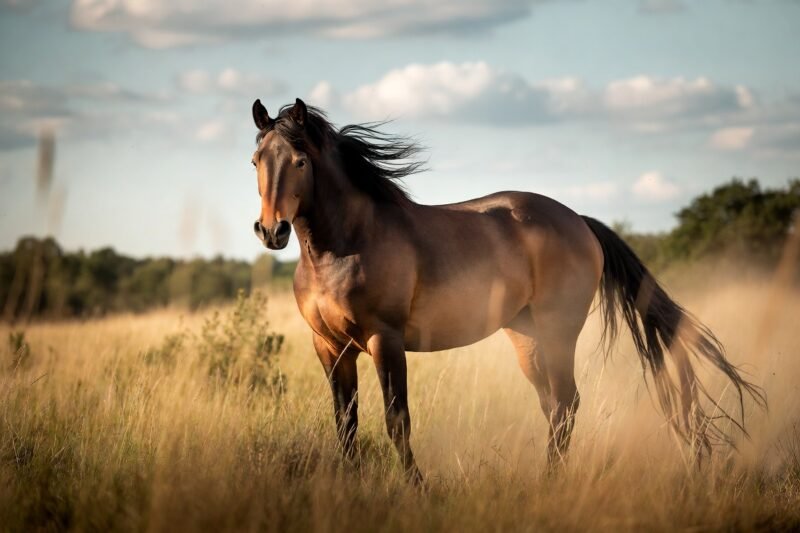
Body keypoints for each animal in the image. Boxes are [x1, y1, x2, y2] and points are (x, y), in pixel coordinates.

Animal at [249, 97, 766, 482]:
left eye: (299, 161)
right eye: (255, 160)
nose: (271, 231)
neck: (344, 245)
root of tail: (580, 221)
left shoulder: (385, 340)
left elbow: (397, 421)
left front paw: (416, 487)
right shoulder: (330, 346)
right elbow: (346, 424)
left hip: (557, 335)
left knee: (566, 404)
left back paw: (549, 481)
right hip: (526, 339)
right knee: (553, 407)